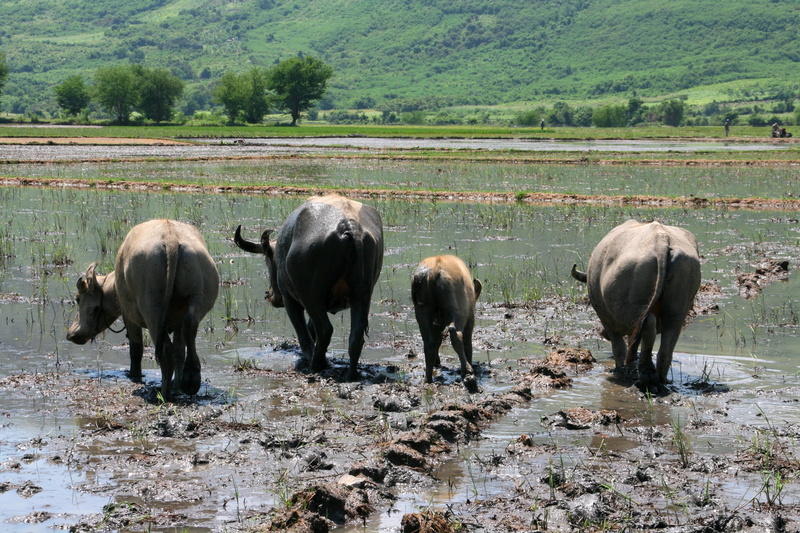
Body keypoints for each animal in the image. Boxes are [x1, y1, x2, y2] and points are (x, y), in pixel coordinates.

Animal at [67, 219, 220, 401]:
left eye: (78, 298)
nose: (71, 334)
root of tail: (171, 239)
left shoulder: (129, 316)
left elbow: (136, 349)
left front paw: (134, 375)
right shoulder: (178, 321)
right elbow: (179, 351)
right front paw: (178, 384)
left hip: (152, 309)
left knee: (165, 350)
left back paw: (165, 393)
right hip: (199, 297)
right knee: (189, 326)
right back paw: (190, 379)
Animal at [234, 194, 384, 380]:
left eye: (268, 259)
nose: (270, 295)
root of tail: (349, 225)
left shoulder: (290, 300)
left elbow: (304, 334)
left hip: (310, 295)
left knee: (324, 330)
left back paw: (316, 364)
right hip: (362, 295)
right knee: (355, 335)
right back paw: (351, 374)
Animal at [412, 255, 482, 392]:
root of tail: (432, 273)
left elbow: (438, 339)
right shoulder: (470, 317)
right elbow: (468, 343)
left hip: (422, 309)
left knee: (429, 343)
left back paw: (428, 378)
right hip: (457, 307)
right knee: (456, 334)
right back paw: (468, 373)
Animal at [571, 220, 701, 390]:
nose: (602, 332)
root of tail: (661, 240)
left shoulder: (607, 319)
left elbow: (619, 346)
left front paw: (620, 369)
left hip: (631, 302)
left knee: (648, 324)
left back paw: (646, 376)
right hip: (679, 302)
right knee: (668, 339)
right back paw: (661, 379)